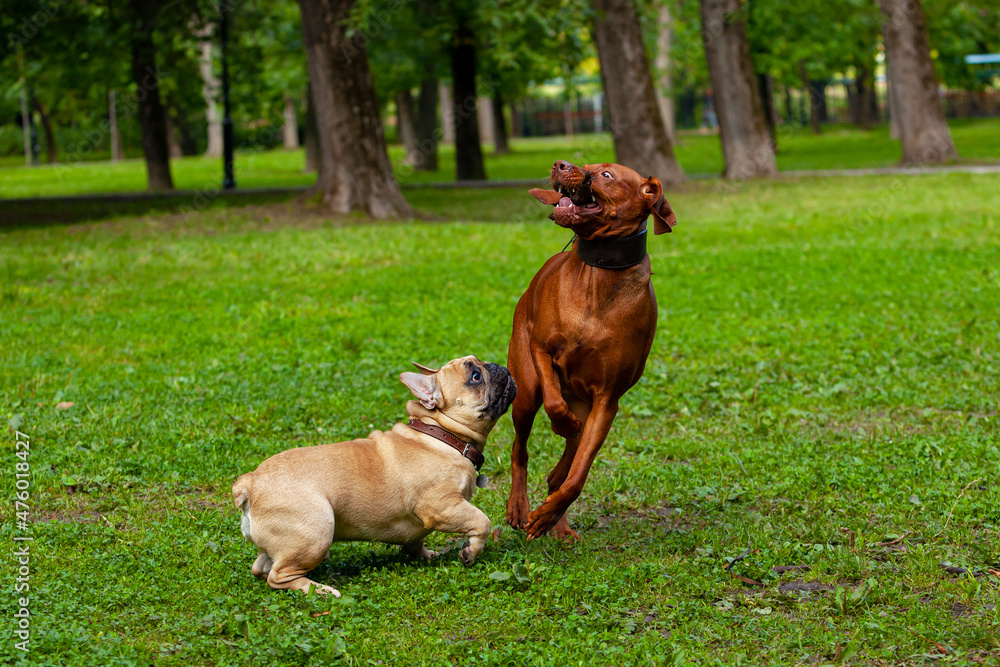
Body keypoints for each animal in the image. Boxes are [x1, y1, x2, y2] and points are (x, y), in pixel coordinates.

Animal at [504, 160, 676, 544]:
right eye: (590, 166)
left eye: (606, 175)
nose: (560, 164)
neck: (598, 274)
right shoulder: (540, 349)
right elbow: (555, 405)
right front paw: (562, 421)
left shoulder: (606, 402)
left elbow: (577, 476)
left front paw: (547, 516)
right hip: (525, 390)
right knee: (520, 449)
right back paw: (519, 507)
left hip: (584, 404)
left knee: (560, 473)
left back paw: (556, 522)